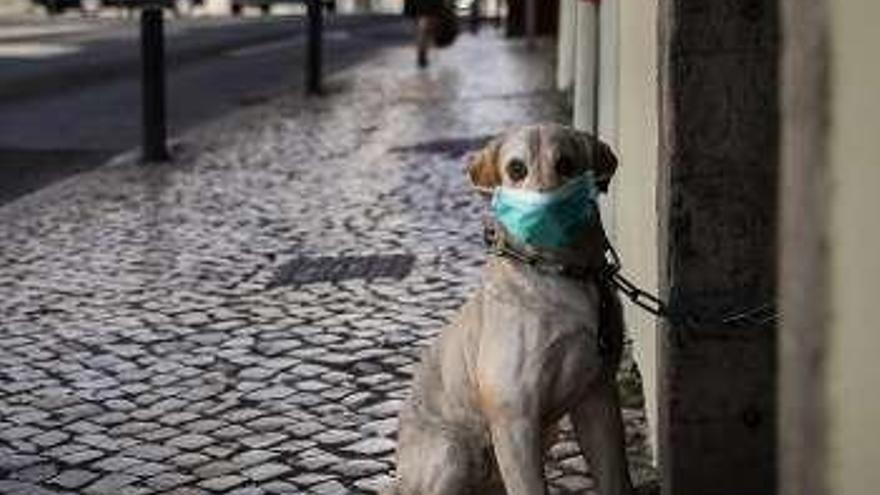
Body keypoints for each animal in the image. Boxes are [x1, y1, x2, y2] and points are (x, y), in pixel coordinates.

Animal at [384, 125, 632, 495]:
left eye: (566, 164)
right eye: (516, 169)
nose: (546, 211)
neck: (559, 272)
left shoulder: (598, 396)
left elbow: (615, 478)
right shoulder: (515, 416)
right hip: (454, 452)